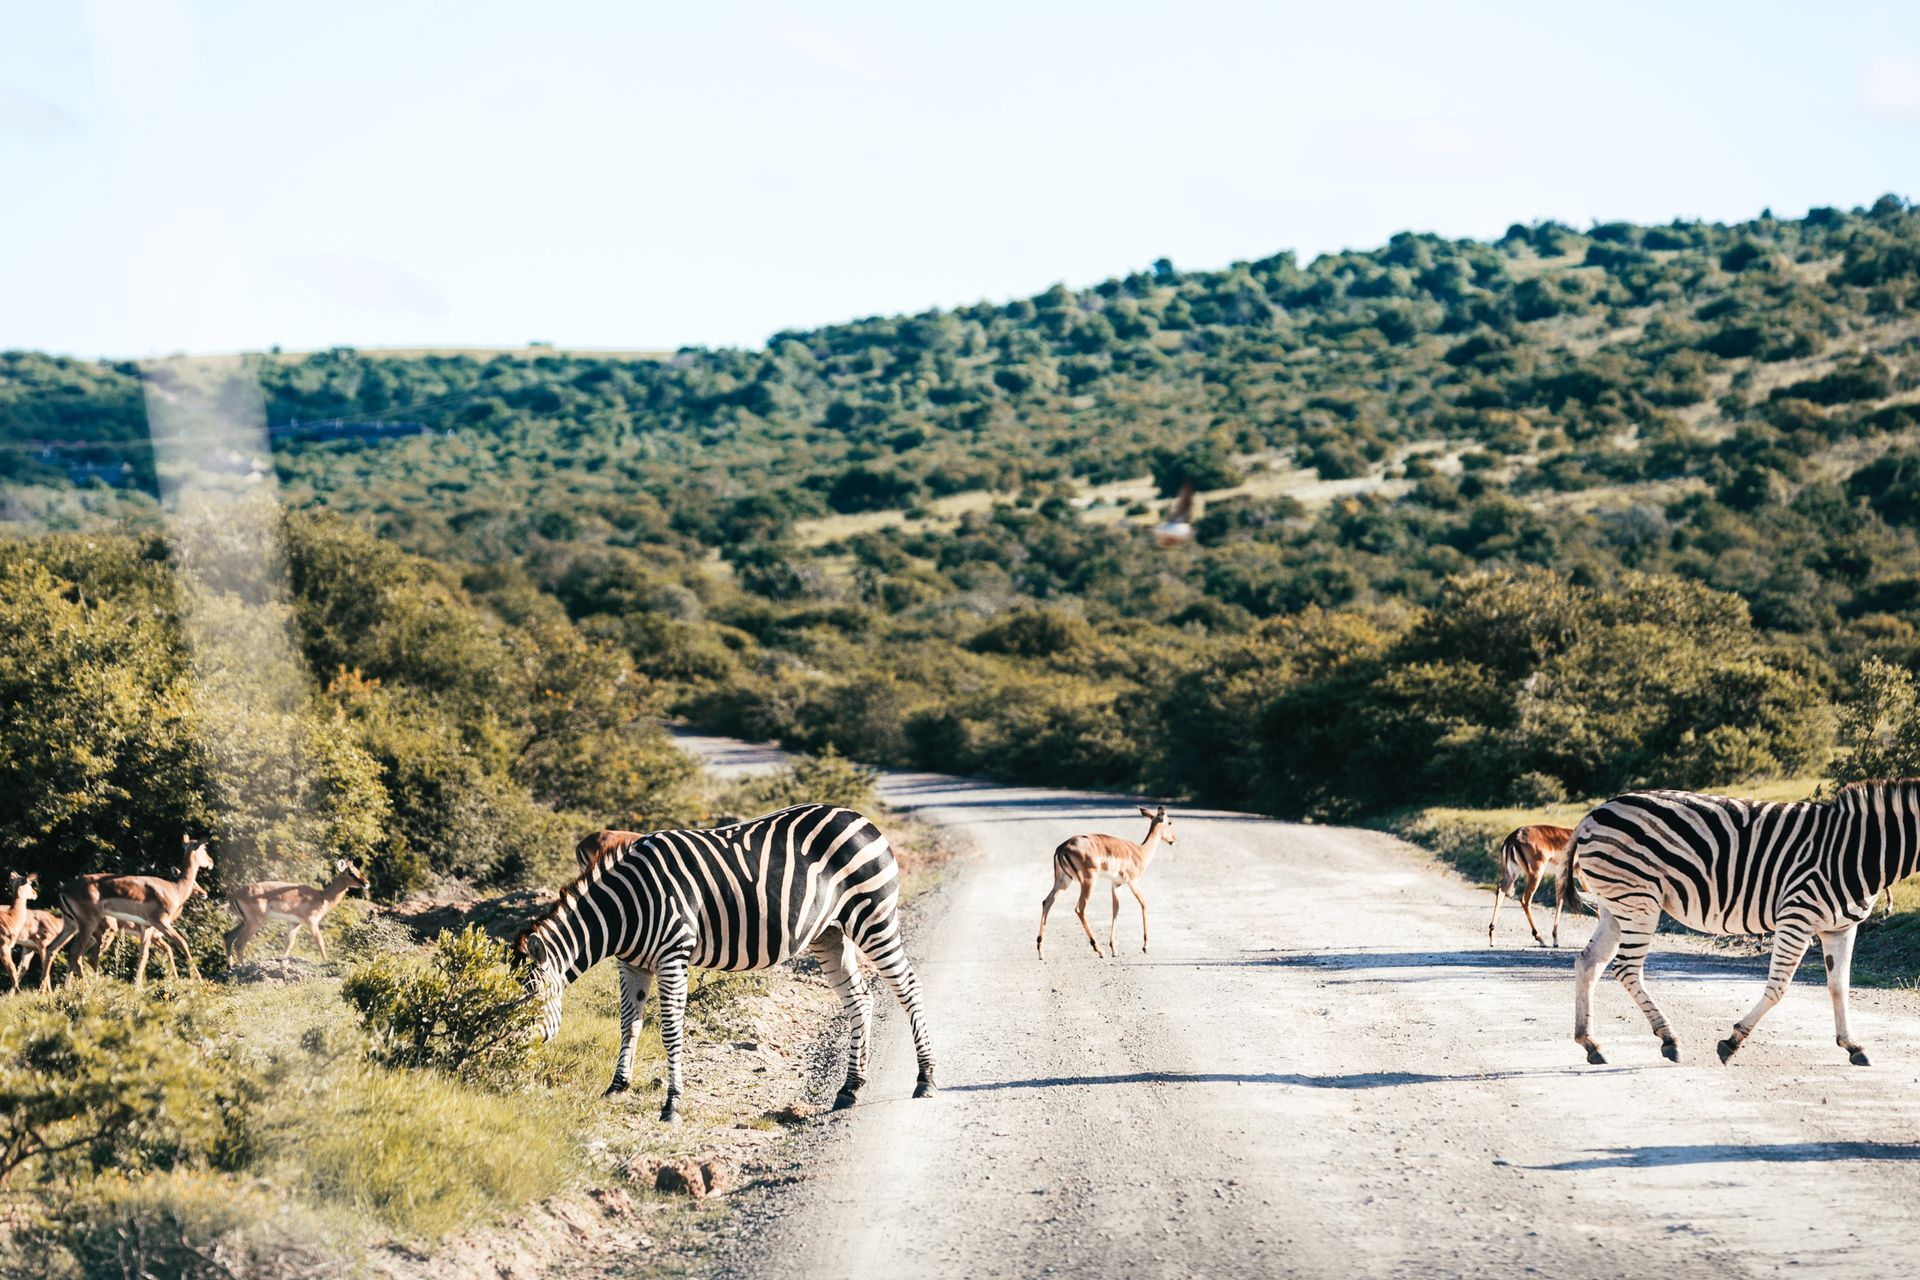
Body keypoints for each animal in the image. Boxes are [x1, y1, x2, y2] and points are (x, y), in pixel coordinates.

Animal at [516, 803, 937, 1121]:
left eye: (528, 1003)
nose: (507, 1055)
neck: (626, 910)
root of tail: (858, 816)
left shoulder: (673, 954)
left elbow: (670, 1031)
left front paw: (672, 1105)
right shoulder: (632, 964)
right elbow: (628, 1025)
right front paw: (617, 1087)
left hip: (873, 916)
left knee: (909, 988)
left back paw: (925, 1079)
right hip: (829, 932)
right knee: (860, 999)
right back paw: (850, 1088)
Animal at [1561, 781, 1919, 1068]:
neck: (1860, 851)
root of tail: (1593, 813)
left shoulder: (1840, 928)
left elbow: (1839, 987)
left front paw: (1852, 1046)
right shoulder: (1797, 916)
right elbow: (1778, 988)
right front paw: (1732, 1043)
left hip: (1615, 903)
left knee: (1589, 961)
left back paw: (1590, 1044)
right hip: (1638, 899)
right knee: (1625, 969)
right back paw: (1669, 1039)